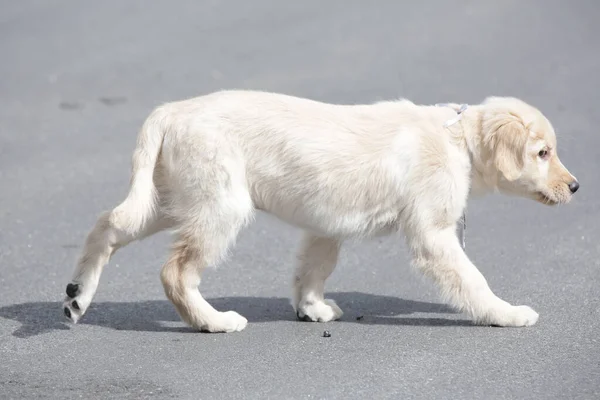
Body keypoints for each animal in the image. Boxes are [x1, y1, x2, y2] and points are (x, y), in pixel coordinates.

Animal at [61, 90, 576, 332]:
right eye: (543, 153)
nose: (575, 186)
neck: (458, 138)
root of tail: (170, 111)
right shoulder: (433, 234)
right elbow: (473, 280)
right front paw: (505, 313)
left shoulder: (326, 224)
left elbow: (314, 267)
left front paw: (311, 308)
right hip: (219, 205)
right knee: (175, 271)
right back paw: (212, 321)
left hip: (173, 199)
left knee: (107, 223)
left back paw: (77, 295)